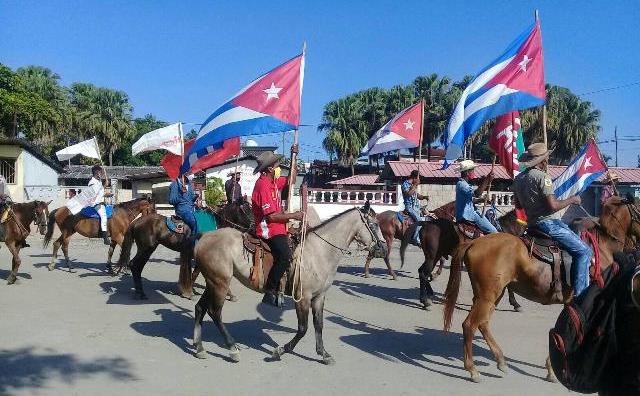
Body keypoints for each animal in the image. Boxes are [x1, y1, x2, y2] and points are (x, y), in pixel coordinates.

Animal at [119, 201, 254, 300]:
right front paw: (188, 291)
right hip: (146, 248)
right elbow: (198, 274)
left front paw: (188, 290)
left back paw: (139, 292)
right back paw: (140, 293)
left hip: (148, 249)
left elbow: (196, 274)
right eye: (246, 210)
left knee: (137, 267)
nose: (254, 226)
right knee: (134, 265)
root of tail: (136, 221)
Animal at [191, 206, 384, 364]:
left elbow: (319, 325)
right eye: (374, 224)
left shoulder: (319, 297)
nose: (383, 248)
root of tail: (205, 237)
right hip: (220, 283)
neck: (318, 251)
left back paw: (199, 347)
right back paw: (232, 348)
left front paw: (323, 353)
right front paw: (280, 351)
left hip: (212, 282)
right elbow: (303, 328)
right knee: (215, 312)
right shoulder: (303, 297)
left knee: (200, 308)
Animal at [442, 197, 640, 384]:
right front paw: (555, 370)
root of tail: (474, 243)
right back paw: (473, 370)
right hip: (487, 296)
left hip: (492, 295)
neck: (603, 247)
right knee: (469, 325)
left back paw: (500, 360)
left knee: (482, 324)